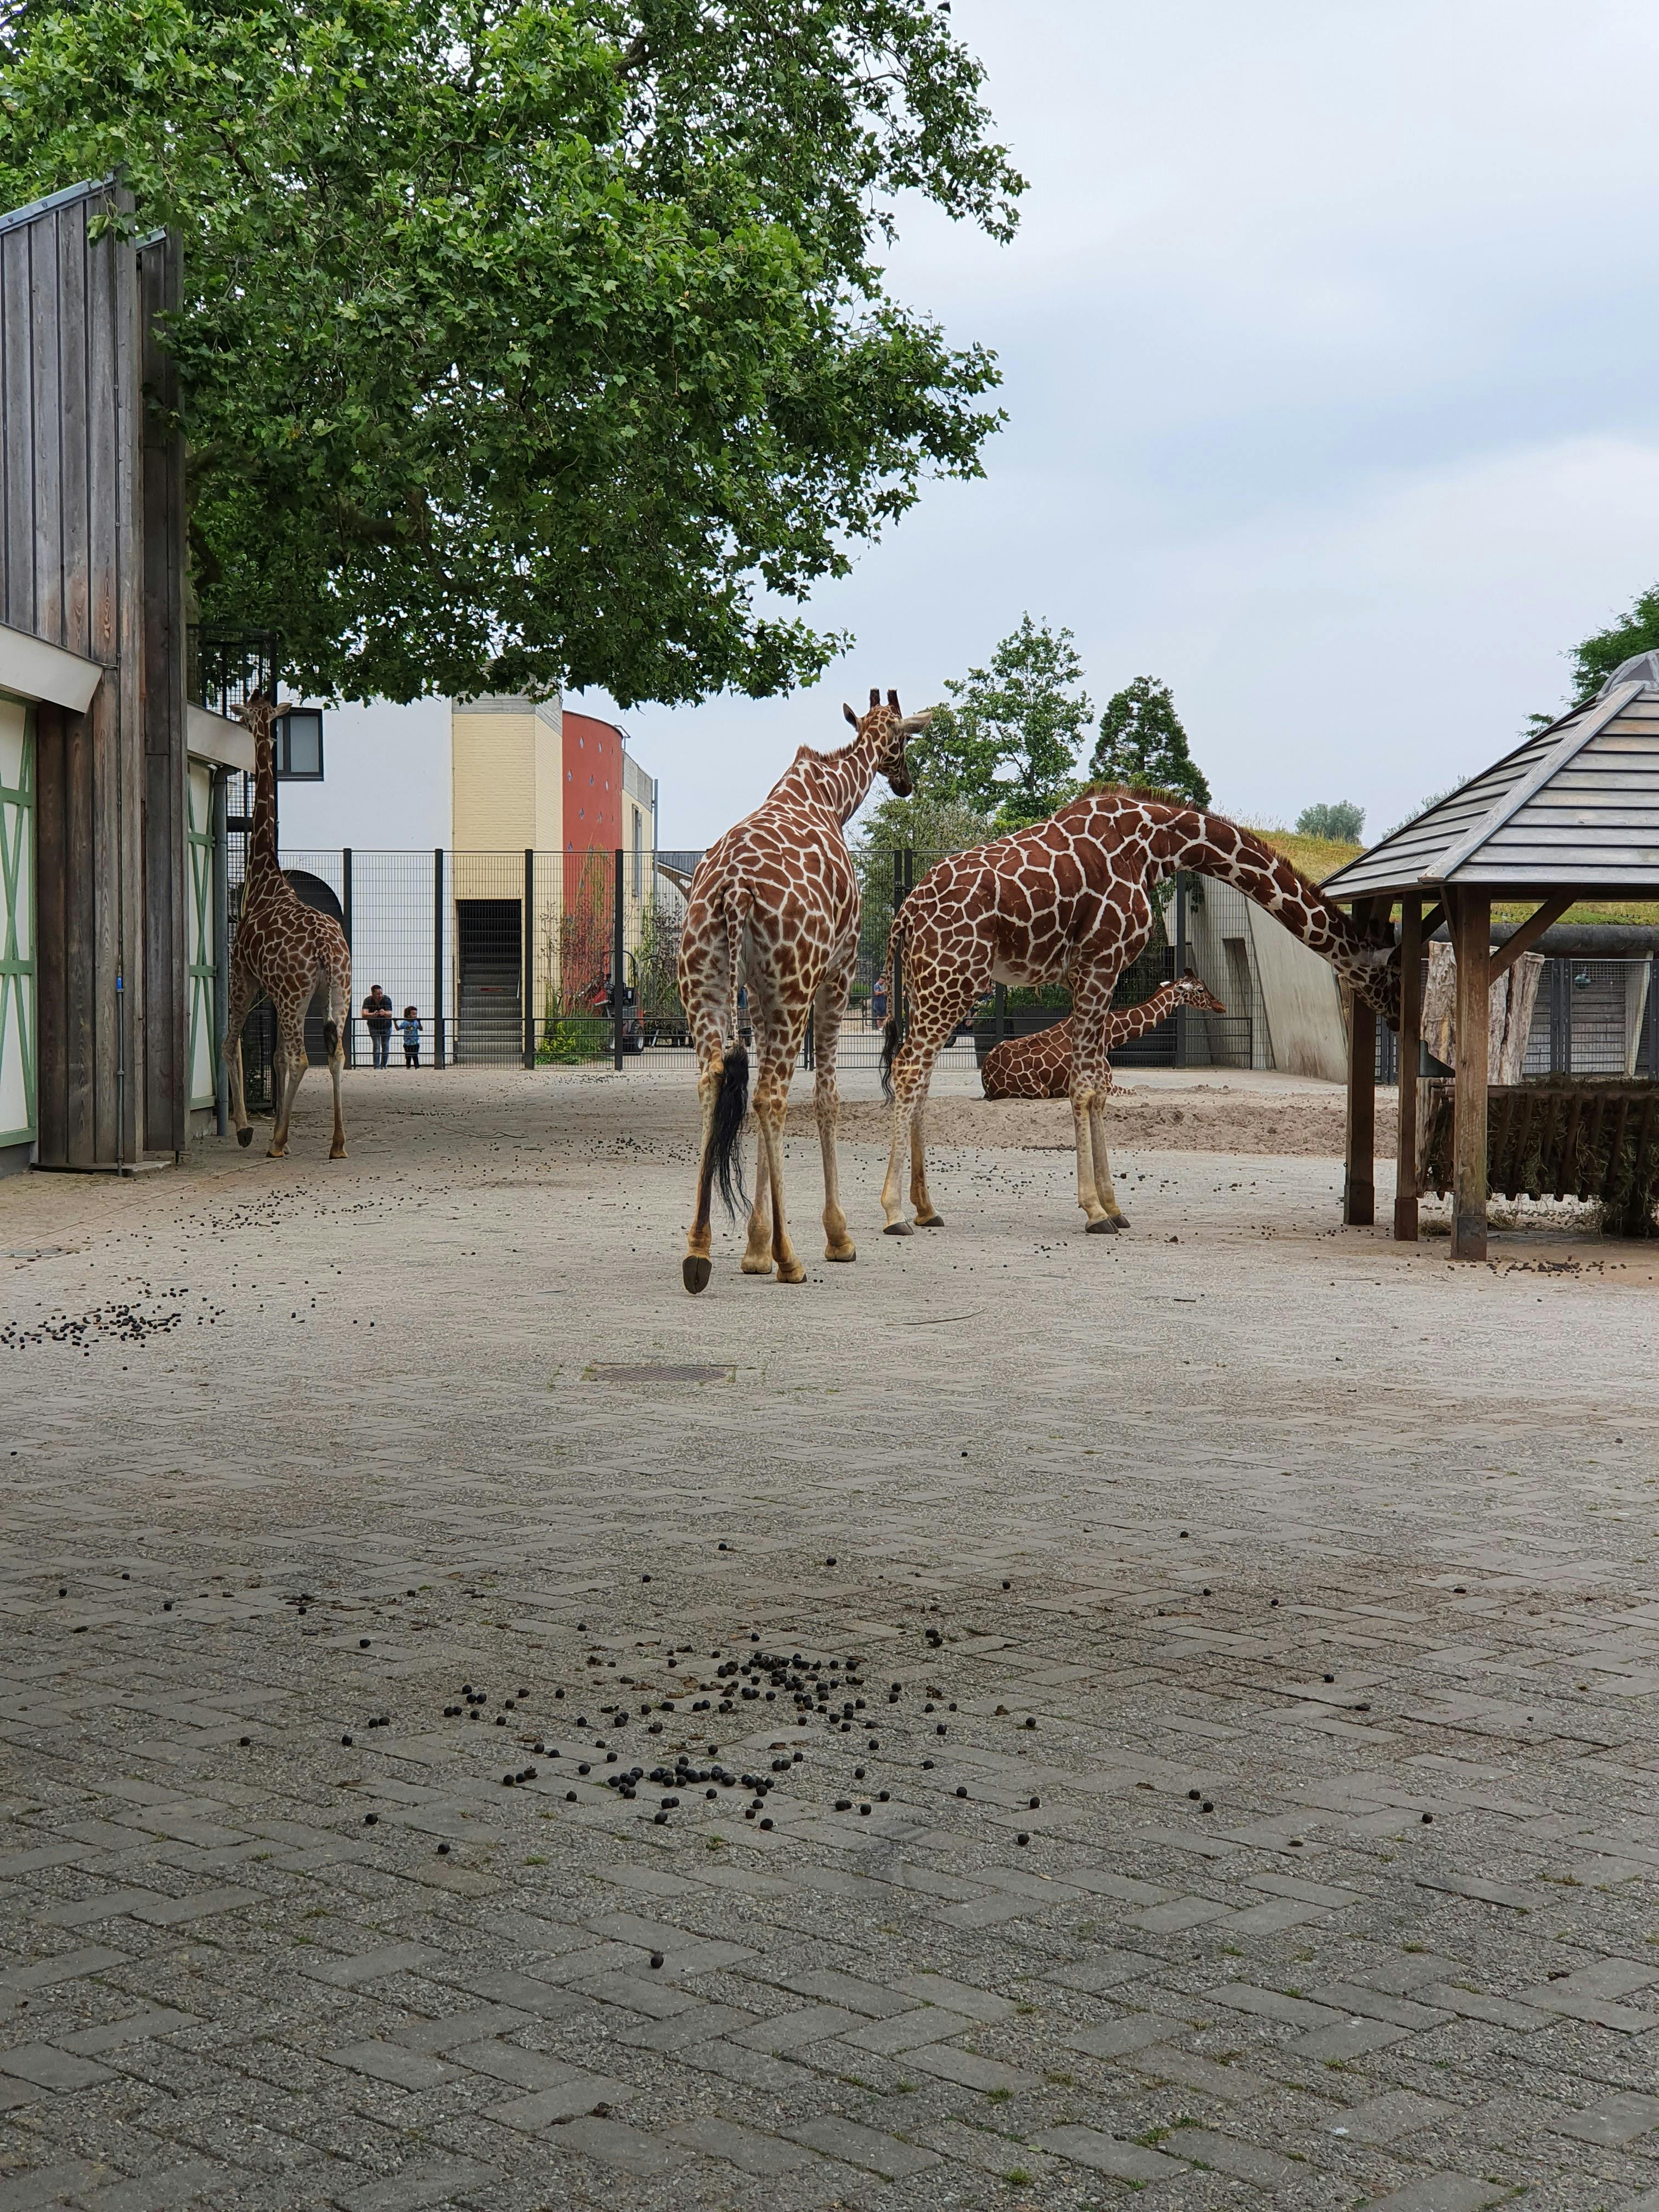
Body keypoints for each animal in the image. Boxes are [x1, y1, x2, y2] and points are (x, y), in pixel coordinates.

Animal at [221, 699, 354, 1167]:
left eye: (246, 715)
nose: (239, 721)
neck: (264, 879)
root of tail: (326, 949)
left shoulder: (244, 976)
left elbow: (235, 1045)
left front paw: (246, 1130)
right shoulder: (273, 992)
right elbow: (273, 1057)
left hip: (294, 992)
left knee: (299, 1057)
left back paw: (276, 1142)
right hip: (337, 989)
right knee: (335, 1052)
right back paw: (337, 1143)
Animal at [676, 681, 938, 1291]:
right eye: (902, 739)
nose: (905, 782)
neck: (831, 797)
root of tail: (733, 891)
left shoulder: (762, 992)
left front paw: (752, 1249)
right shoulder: (837, 970)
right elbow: (825, 1097)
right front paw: (832, 1238)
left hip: (708, 982)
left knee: (714, 1083)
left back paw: (699, 1252)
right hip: (795, 984)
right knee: (771, 1094)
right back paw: (792, 1257)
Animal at [982, 973, 1229, 1101]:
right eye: (1200, 990)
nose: (1221, 1006)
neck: (1111, 1036)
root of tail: (986, 1078)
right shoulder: (1104, 1085)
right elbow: (1137, 1092)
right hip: (1039, 1090)